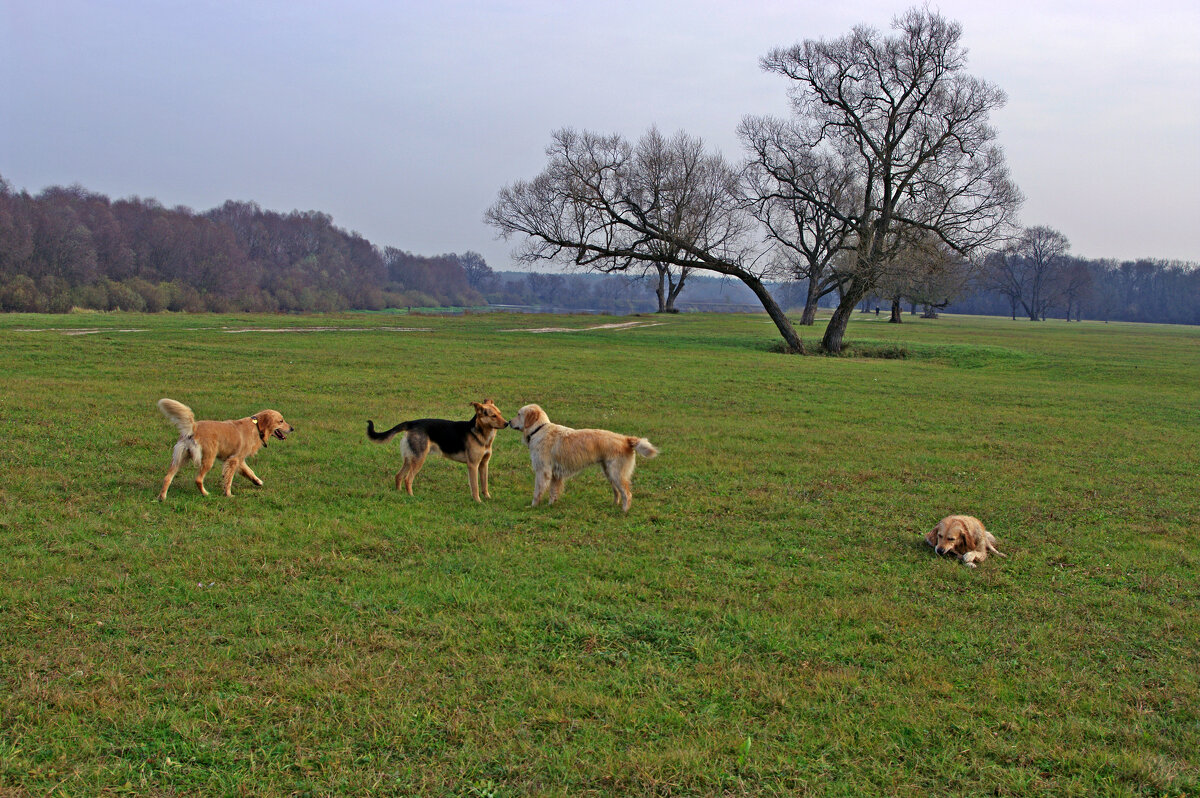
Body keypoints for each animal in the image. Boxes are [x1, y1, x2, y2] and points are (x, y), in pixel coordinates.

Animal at [158, 396, 294, 499]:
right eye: (281, 421)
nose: (292, 428)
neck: (257, 427)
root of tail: (193, 428)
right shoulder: (234, 460)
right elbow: (229, 480)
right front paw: (228, 494)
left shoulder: (238, 459)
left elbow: (249, 471)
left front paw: (257, 481)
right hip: (208, 459)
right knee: (198, 479)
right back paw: (205, 493)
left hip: (180, 459)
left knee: (167, 478)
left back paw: (162, 497)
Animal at [362, 400, 504, 501]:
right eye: (493, 416)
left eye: (500, 414)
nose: (507, 423)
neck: (481, 433)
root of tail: (411, 423)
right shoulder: (473, 465)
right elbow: (475, 486)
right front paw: (478, 501)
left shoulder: (484, 464)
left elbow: (484, 484)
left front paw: (487, 498)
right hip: (419, 459)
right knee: (408, 479)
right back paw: (411, 496)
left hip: (409, 459)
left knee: (398, 476)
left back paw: (399, 493)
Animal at [504, 405, 662, 511]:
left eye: (519, 414)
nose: (508, 422)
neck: (539, 429)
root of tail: (626, 439)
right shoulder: (555, 475)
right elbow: (553, 492)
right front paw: (551, 504)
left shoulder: (543, 471)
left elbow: (537, 492)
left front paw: (533, 506)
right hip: (609, 473)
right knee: (618, 492)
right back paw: (614, 505)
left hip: (616, 474)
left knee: (627, 494)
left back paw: (624, 511)